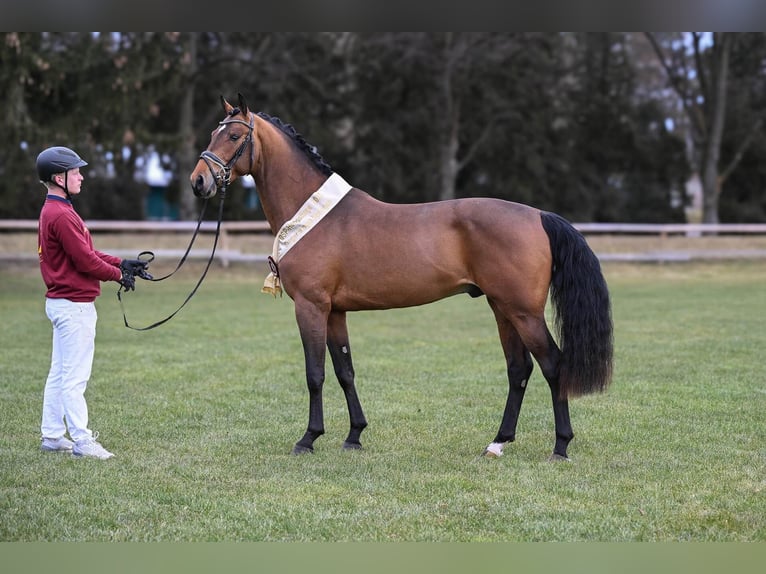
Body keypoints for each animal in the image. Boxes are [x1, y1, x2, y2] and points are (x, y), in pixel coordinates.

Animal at [194, 94, 616, 464]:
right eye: (213, 133)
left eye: (234, 136)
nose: (199, 181)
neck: (315, 214)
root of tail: (539, 216)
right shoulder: (335, 312)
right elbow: (345, 371)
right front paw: (354, 436)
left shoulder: (311, 308)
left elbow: (315, 374)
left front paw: (308, 439)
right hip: (502, 308)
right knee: (519, 369)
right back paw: (497, 444)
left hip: (523, 311)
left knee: (552, 365)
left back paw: (560, 447)